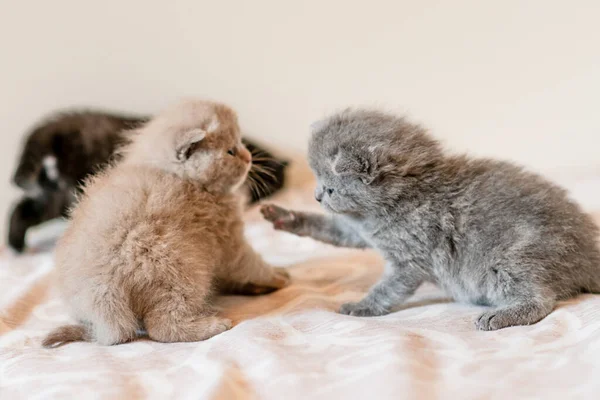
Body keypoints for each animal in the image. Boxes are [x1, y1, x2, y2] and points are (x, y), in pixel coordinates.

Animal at [8, 109, 290, 253]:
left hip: (55, 195)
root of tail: (47, 132)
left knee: (21, 210)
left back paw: (16, 247)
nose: (251, 197)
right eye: (267, 186)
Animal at [42, 100, 290, 346]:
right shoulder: (226, 237)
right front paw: (277, 276)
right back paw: (211, 326)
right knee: (162, 327)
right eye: (231, 150)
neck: (178, 176)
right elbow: (249, 264)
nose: (248, 157)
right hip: (178, 264)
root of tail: (103, 301)